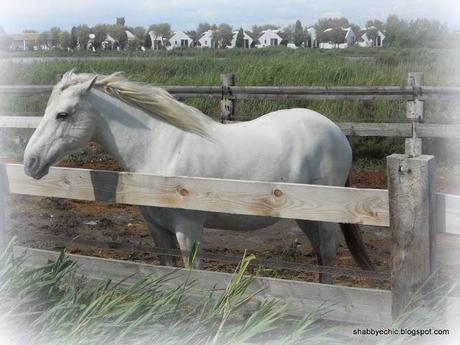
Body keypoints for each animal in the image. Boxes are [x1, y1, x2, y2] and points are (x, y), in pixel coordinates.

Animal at [24, 70, 374, 282]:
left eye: (62, 114)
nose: (30, 162)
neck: (160, 147)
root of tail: (336, 132)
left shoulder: (188, 229)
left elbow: (194, 273)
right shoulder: (158, 228)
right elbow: (168, 269)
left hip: (324, 217)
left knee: (328, 253)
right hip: (305, 217)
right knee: (320, 254)